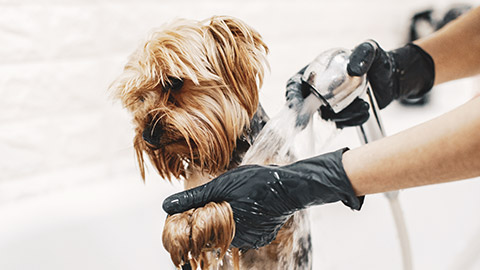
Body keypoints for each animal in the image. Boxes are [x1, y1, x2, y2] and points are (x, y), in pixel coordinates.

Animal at [110, 15, 314, 268]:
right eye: (139, 97)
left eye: (174, 82)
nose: (147, 134)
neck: (221, 158)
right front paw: (178, 229)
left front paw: (201, 221)